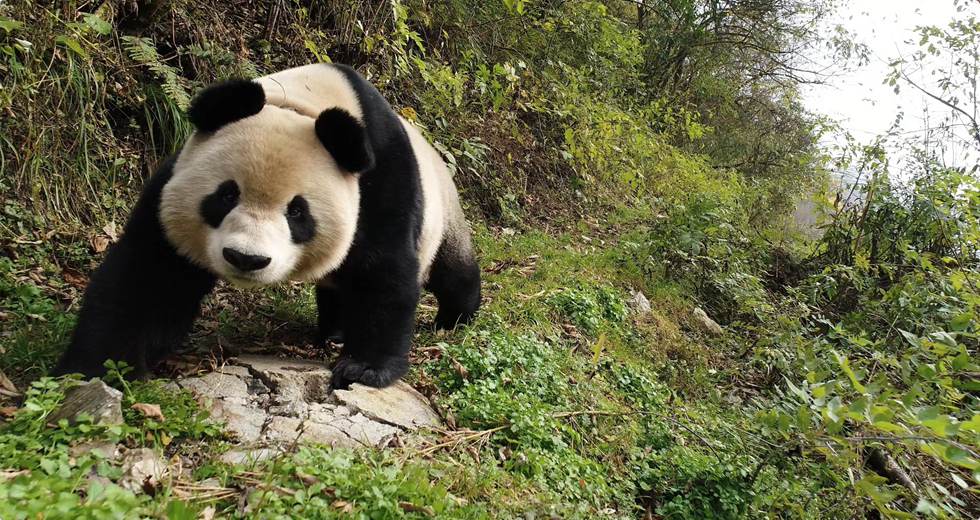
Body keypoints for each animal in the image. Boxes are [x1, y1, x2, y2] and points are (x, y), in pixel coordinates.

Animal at [53, 63, 481, 389]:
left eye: (297, 212)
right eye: (226, 195)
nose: (246, 259)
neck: (300, 106)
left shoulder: (380, 182)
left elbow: (383, 271)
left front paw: (363, 368)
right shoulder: (169, 187)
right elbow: (150, 276)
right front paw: (96, 370)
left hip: (443, 214)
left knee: (451, 271)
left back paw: (454, 319)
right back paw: (333, 331)